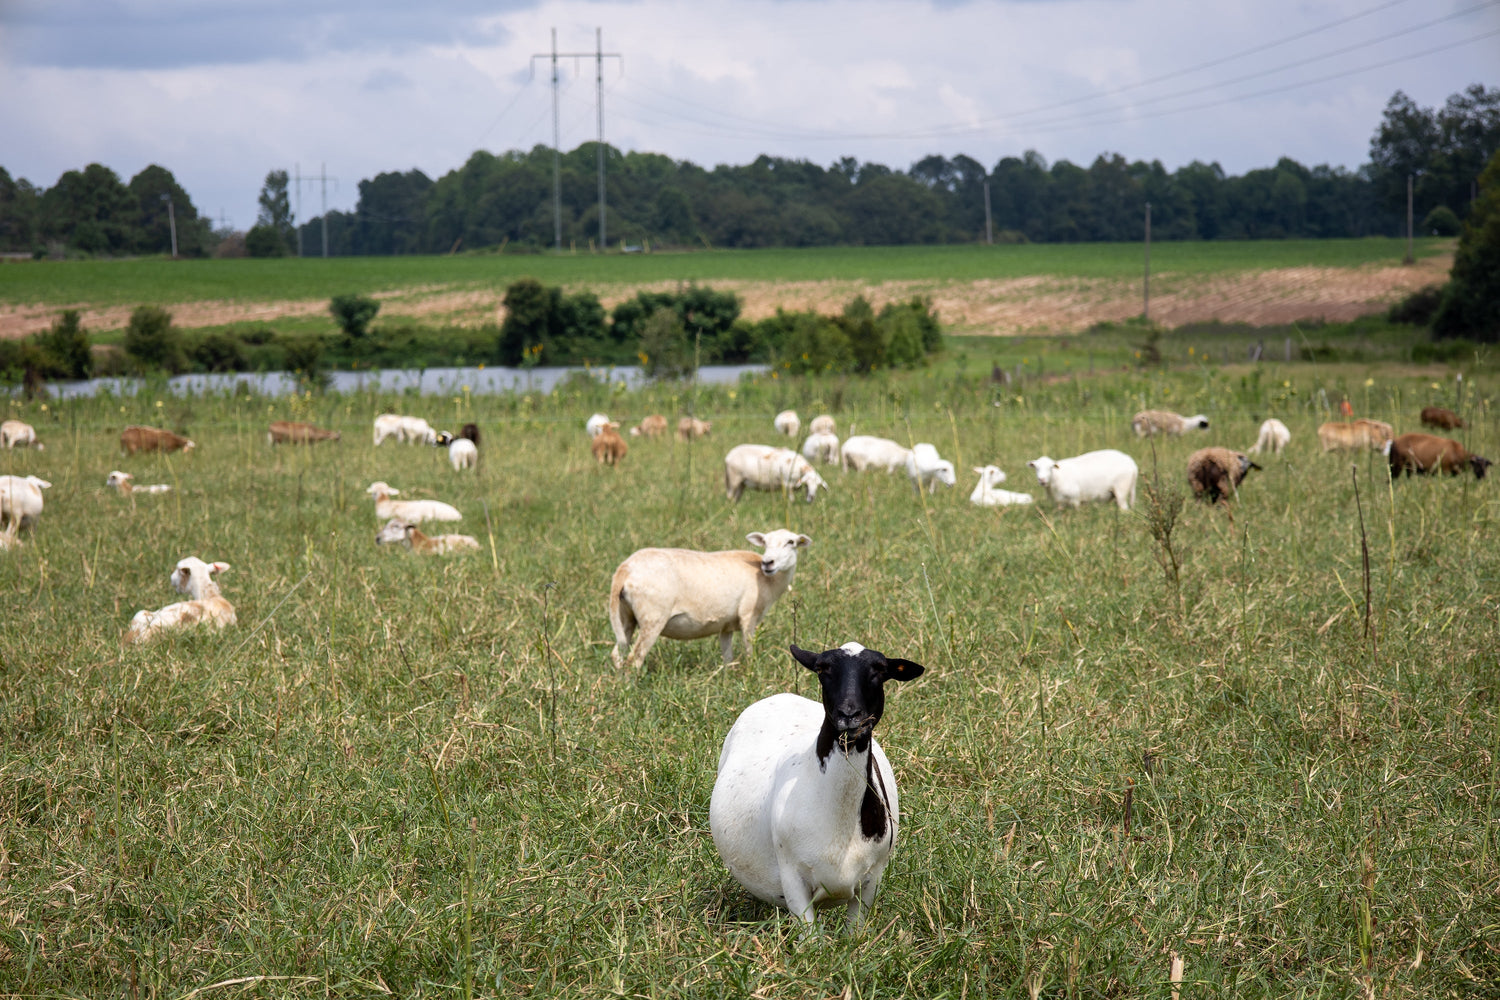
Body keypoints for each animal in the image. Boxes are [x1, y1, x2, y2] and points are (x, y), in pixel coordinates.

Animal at [608, 529, 811, 670]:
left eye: (791, 542)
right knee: (635, 658)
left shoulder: (726, 626)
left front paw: (728, 681)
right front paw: (751, 675)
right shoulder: (748, 615)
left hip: (626, 616)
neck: (767, 579)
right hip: (653, 617)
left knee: (617, 655)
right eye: (765, 543)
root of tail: (625, 569)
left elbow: (727, 658)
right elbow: (749, 651)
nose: (768, 562)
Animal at [709, 641, 925, 929]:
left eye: (879, 670)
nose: (849, 714)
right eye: (823, 669)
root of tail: (782, 696)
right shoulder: (793, 880)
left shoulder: (871, 881)